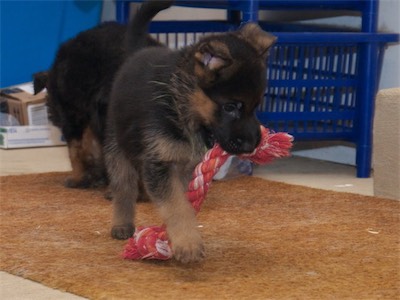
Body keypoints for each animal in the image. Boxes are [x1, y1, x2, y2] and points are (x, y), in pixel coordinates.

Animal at [104, 8, 276, 262]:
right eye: (230, 106)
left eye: (255, 106)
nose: (252, 145)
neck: (181, 105)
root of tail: (136, 53)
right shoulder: (160, 164)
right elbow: (176, 205)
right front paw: (187, 243)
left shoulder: (186, 167)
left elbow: (185, 201)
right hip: (117, 147)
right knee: (124, 186)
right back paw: (122, 223)